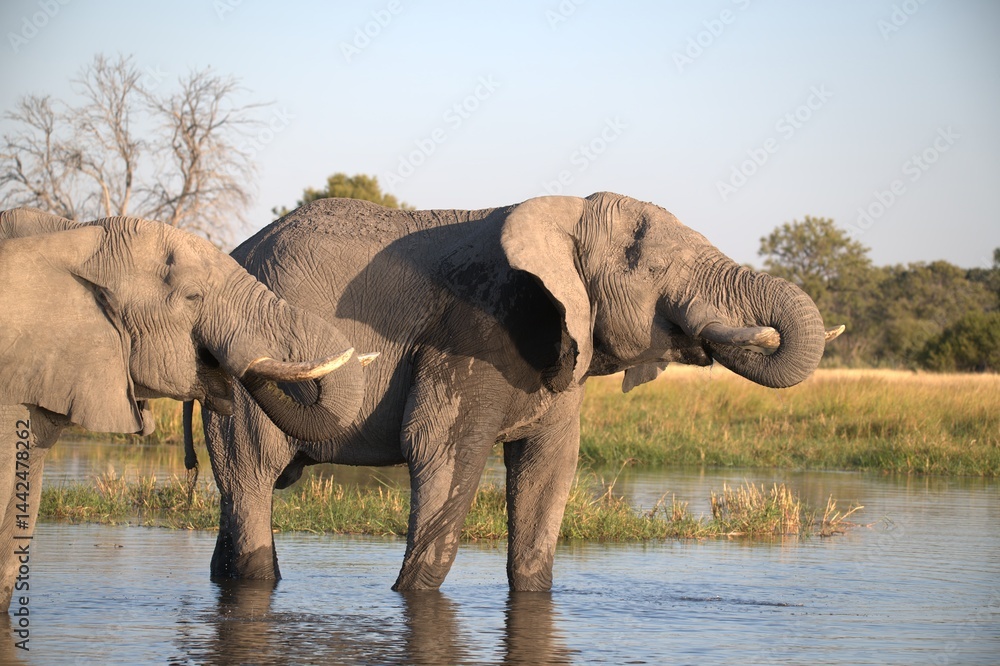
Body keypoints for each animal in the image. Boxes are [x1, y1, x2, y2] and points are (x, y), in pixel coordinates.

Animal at [202, 192, 843, 592]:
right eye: (647, 264)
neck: (565, 215)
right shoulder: (475, 331)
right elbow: (441, 452)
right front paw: (409, 593)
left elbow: (549, 471)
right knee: (252, 477)